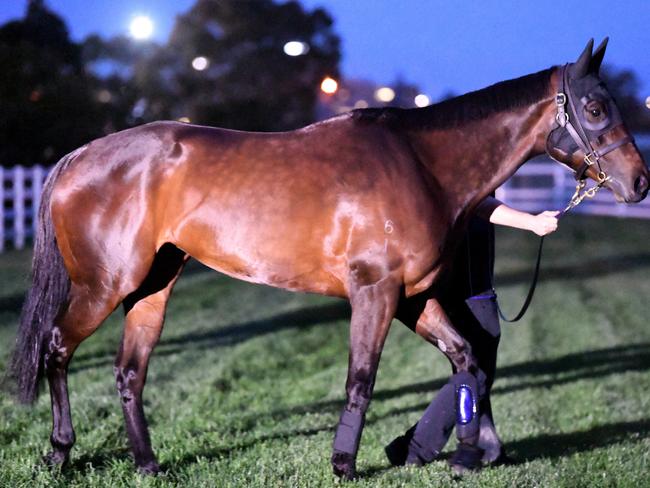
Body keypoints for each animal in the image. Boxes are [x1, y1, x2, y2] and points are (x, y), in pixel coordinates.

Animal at [7, 39, 644, 476]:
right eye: (594, 108)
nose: (639, 182)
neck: (419, 163)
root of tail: (77, 157)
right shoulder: (375, 293)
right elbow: (362, 379)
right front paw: (343, 463)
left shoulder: (412, 298)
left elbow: (466, 360)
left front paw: (465, 455)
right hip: (103, 286)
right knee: (57, 349)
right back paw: (60, 453)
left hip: (152, 287)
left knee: (129, 372)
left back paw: (148, 464)